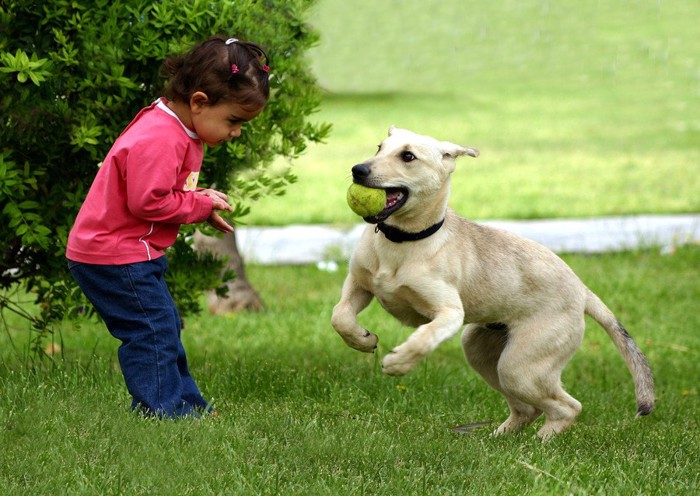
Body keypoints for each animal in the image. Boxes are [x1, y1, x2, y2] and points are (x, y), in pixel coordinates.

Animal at [330, 126, 652, 440]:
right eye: (379, 148)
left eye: (408, 156)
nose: (358, 170)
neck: (404, 240)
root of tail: (582, 290)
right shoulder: (358, 284)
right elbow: (340, 316)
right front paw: (362, 340)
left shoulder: (449, 313)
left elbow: (425, 337)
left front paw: (399, 362)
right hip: (481, 351)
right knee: (527, 409)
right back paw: (498, 438)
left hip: (521, 367)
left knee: (568, 407)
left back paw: (540, 443)